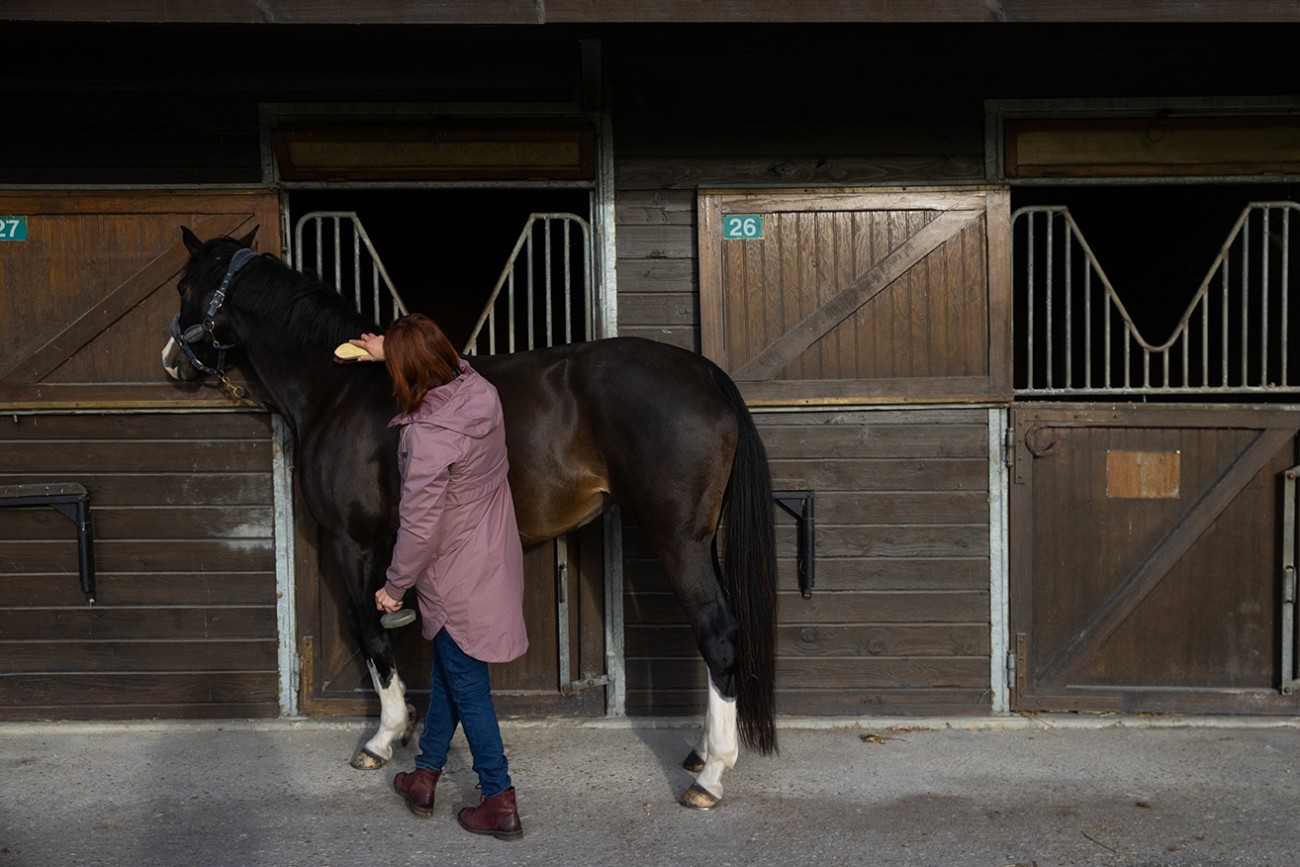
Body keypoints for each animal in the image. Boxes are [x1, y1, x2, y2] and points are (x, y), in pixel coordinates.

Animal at [161, 227, 778, 810]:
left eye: (183, 286)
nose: (171, 361)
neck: (339, 391)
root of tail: (704, 372)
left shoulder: (352, 540)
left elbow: (370, 630)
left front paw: (383, 737)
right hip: (701, 539)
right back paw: (700, 752)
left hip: (678, 539)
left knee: (717, 632)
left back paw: (712, 775)